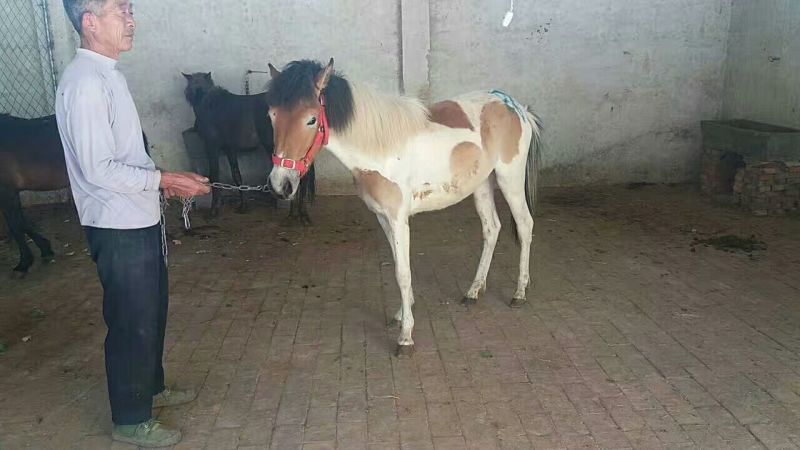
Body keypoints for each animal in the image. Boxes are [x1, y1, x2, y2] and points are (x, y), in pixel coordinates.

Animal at [0, 113, 69, 276]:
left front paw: (24, 262)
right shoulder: (12, 193)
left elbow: (16, 225)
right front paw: (46, 249)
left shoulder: (6, 192)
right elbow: (22, 222)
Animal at [182, 72, 316, 222]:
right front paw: (243, 206)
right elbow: (236, 175)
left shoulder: (212, 147)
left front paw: (213, 211)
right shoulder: (230, 149)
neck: (211, 104)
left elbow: (214, 176)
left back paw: (296, 214)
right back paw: (299, 213)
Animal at [265, 59, 542, 355]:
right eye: (271, 115)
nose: (281, 184)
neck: (379, 147)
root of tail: (517, 108)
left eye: (311, 119)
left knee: (525, 226)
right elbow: (399, 264)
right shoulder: (383, 218)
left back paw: (519, 293)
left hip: (510, 180)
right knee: (492, 229)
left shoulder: (398, 220)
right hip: (482, 185)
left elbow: (402, 273)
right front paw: (401, 313)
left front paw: (405, 337)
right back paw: (473, 292)